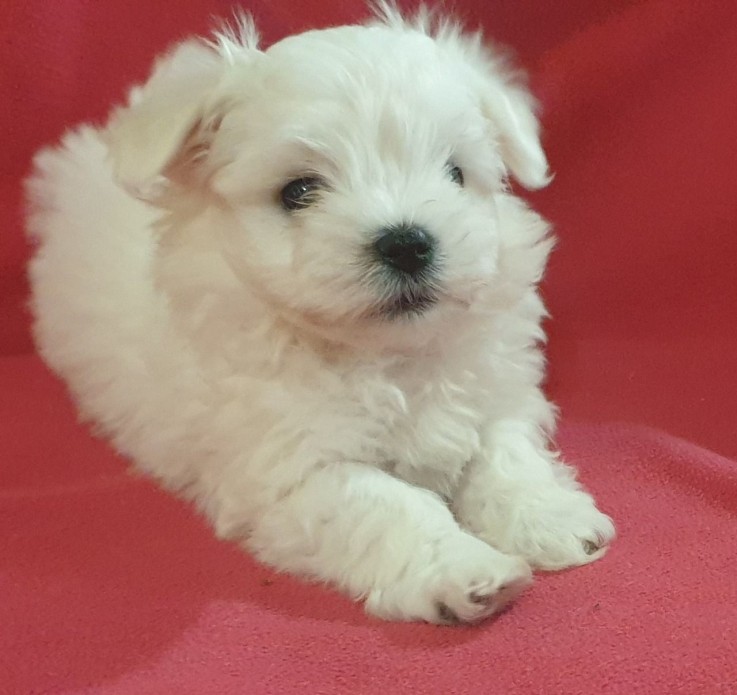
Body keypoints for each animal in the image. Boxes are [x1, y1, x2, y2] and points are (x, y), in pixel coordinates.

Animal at [25, 5, 612, 624]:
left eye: (455, 173)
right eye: (298, 191)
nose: (408, 243)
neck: (388, 355)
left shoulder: (498, 393)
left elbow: (507, 455)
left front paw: (550, 518)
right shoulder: (295, 472)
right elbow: (391, 506)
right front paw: (468, 569)